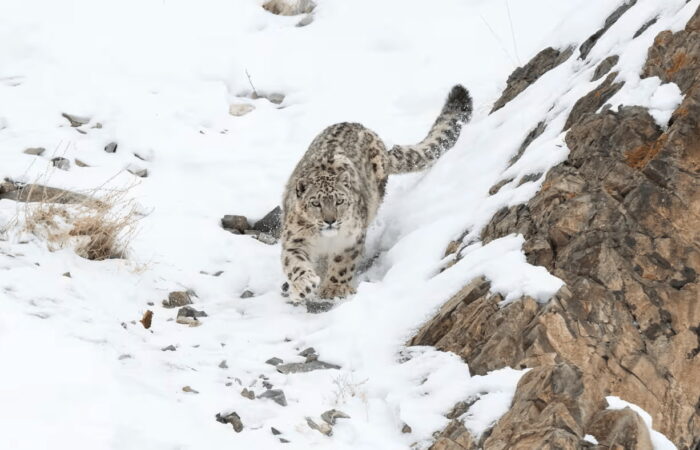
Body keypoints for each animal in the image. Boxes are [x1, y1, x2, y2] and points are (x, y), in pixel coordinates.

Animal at [280, 85, 472, 303]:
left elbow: (342, 263)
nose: (330, 220)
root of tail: (360, 125)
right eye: (315, 203)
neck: (326, 240)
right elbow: (295, 263)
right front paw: (304, 286)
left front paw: (334, 288)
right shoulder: (295, 239)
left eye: (339, 201)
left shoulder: (352, 238)